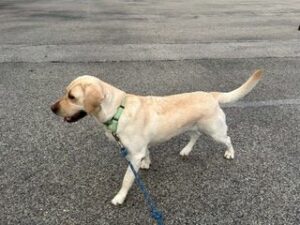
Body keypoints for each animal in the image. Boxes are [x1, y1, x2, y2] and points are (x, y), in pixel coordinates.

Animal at [51, 69, 262, 205]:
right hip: (192, 126)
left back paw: (230, 153)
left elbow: (127, 179)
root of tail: (211, 95)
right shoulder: (141, 147)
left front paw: (120, 197)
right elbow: (147, 153)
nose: (51, 108)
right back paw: (186, 150)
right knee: (195, 136)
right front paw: (147, 162)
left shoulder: (133, 154)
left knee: (227, 139)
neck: (118, 110)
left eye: (71, 96)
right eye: (66, 93)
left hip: (215, 131)